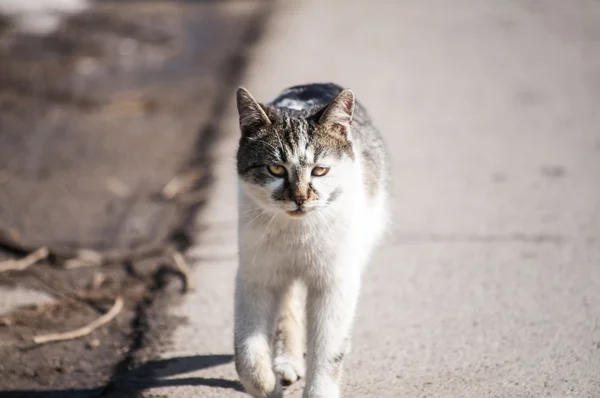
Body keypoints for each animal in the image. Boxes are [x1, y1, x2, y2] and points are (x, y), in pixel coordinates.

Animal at [234, 82, 390, 396]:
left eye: (320, 170)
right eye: (275, 169)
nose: (300, 198)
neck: (297, 232)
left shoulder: (334, 281)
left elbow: (327, 347)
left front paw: (320, 389)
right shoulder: (255, 276)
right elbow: (246, 353)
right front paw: (267, 385)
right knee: (288, 302)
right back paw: (286, 362)